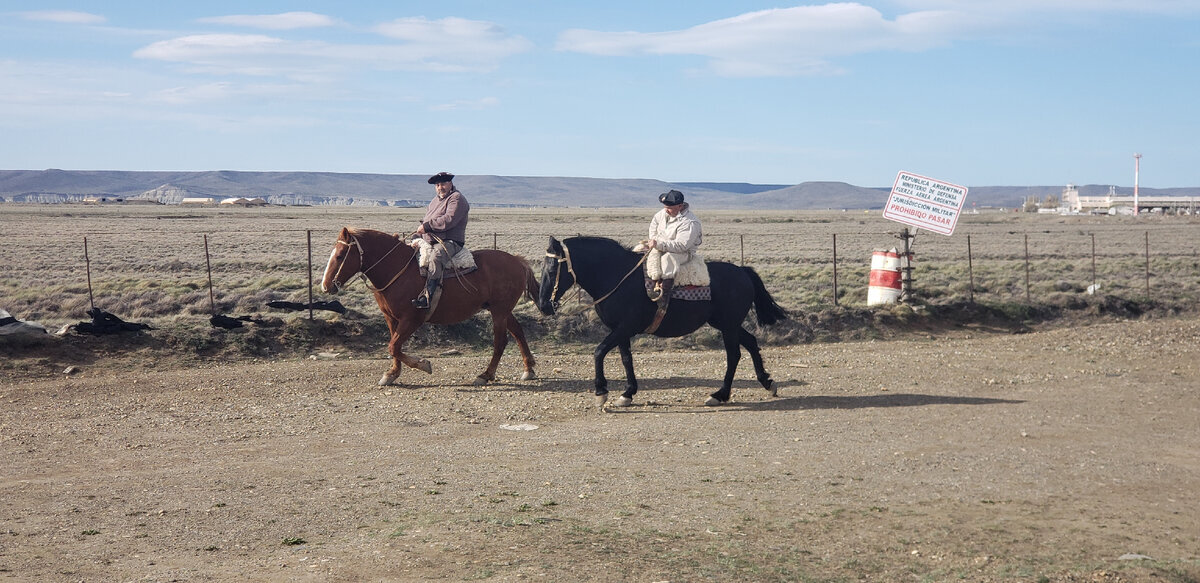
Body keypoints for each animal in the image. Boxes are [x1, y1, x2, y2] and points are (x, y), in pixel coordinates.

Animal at [319, 227, 544, 386]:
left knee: (500, 342)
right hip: (502, 310)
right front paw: (392, 374)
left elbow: (394, 346)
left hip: (499, 311)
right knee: (518, 332)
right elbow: (394, 346)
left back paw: (486, 375)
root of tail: (518, 261)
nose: (326, 285)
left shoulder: (412, 319)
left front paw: (423, 364)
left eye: (340, 255)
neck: (398, 269)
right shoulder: (391, 318)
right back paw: (529, 369)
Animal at [542, 235, 787, 407]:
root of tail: (743, 272)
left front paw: (601, 392)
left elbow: (599, 351)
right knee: (751, 343)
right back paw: (768, 383)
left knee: (734, 355)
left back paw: (720, 395)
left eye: (553, 269)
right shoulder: (620, 330)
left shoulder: (626, 327)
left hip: (728, 326)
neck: (616, 277)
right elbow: (626, 358)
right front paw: (627, 393)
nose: (544, 305)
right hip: (728, 324)